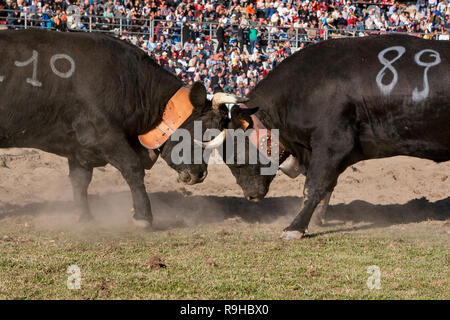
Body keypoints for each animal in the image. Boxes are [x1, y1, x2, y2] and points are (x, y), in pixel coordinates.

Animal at [0, 29, 243, 228]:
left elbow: (80, 181)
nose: (199, 174)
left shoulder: (79, 148)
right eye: (202, 132)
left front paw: (85, 217)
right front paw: (143, 217)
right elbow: (133, 169)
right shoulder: (103, 136)